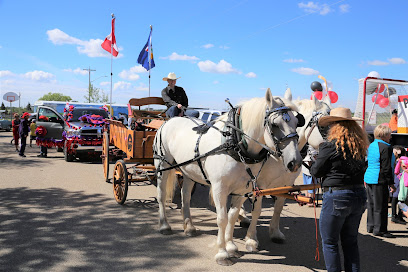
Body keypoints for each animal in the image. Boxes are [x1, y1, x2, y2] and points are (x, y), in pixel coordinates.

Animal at [153, 89, 302, 266]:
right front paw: (222, 253)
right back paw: (164, 226)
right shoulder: (220, 188)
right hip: (163, 166)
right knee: (161, 196)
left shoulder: (243, 189)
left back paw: (189, 227)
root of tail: (170, 120)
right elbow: (222, 218)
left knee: (186, 197)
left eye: (297, 121)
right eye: (275, 124)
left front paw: (230, 245)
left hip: (189, 171)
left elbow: (232, 216)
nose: (295, 162)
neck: (234, 143)